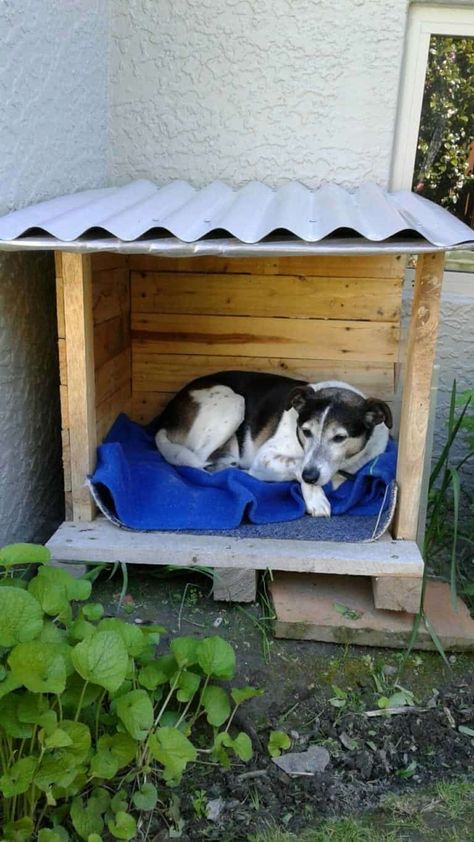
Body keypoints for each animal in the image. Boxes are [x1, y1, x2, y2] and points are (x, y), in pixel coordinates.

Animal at [153, 370, 392, 516]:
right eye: (306, 432)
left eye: (340, 438)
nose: (310, 476)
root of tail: (165, 417)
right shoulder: (265, 457)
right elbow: (296, 464)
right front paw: (315, 498)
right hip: (233, 403)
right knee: (198, 463)